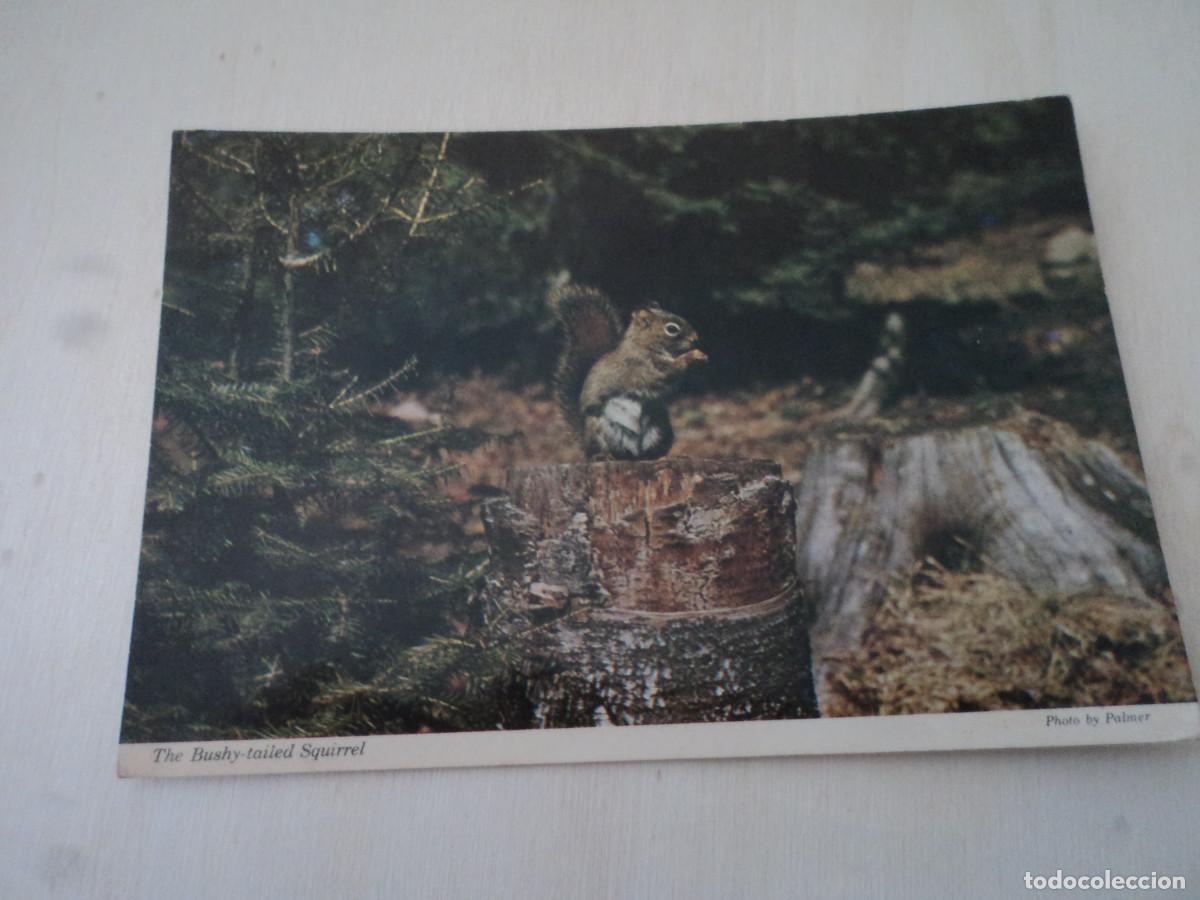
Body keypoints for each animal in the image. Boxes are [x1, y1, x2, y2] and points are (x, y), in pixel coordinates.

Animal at [551, 285, 707, 460]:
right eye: (672, 329)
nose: (695, 337)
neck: (643, 345)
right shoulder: (643, 368)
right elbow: (667, 373)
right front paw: (691, 356)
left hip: (660, 428)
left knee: (647, 453)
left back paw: (661, 457)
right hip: (599, 429)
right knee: (604, 451)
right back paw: (604, 456)